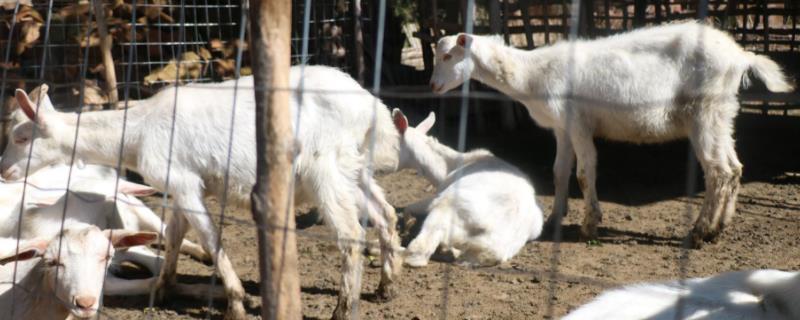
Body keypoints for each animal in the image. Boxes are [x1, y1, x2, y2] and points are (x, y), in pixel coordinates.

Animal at [394, 110, 544, 268]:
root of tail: (494, 244)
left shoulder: (438, 195)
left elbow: (409, 207)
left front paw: (407, 224)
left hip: (447, 208)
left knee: (419, 253)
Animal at [428, 20, 792, 248]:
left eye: (449, 55)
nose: (432, 86)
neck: (531, 74)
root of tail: (740, 56)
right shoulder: (561, 128)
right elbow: (559, 172)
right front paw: (555, 217)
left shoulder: (578, 123)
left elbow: (584, 173)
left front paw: (589, 224)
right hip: (722, 114)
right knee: (733, 168)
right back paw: (720, 228)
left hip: (705, 111)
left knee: (718, 171)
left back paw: (701, 232)